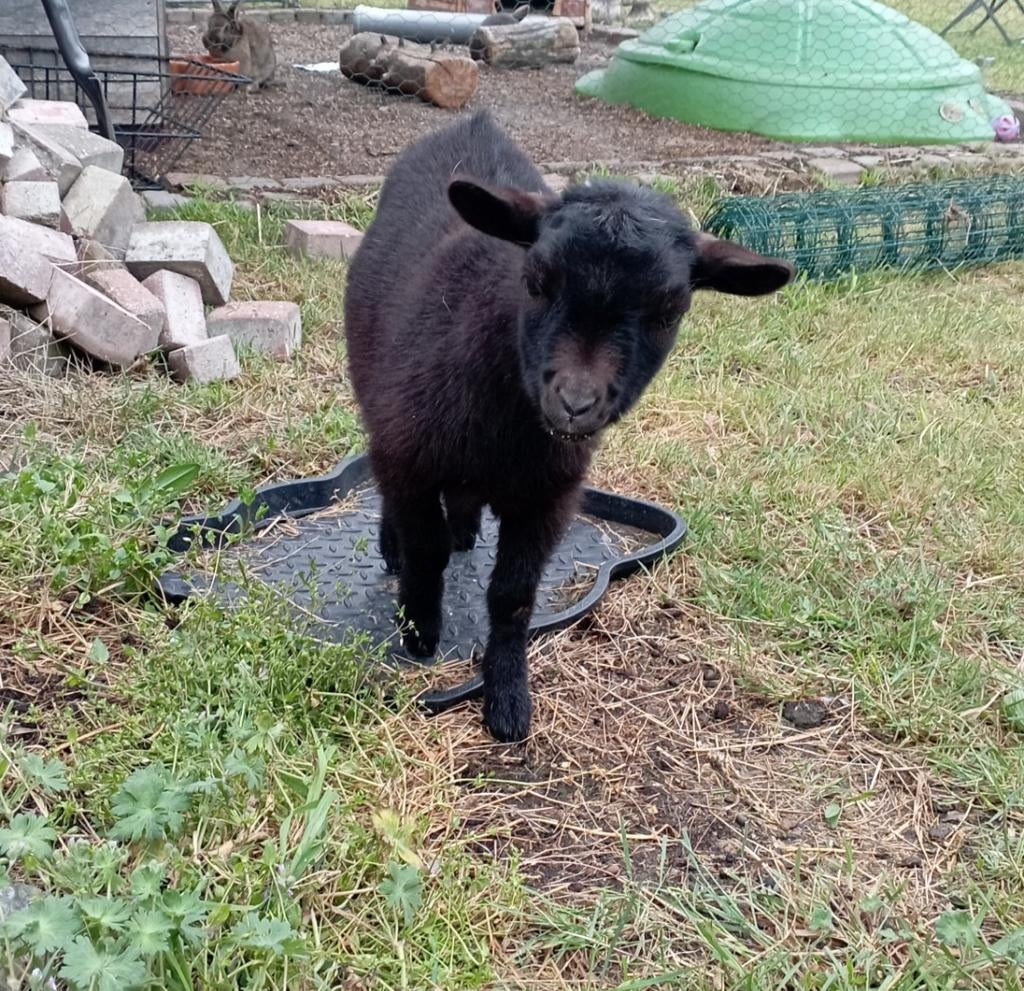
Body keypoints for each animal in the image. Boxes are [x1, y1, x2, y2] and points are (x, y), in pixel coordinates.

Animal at [343, 111, 793, 742]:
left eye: (671, 310)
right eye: (535, 280)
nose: (576, 404)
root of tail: (473, 126)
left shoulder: (549, 495)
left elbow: (513, 595)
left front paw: (508, 700)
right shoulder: (411, 454)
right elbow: (425, 550)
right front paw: (419, 634)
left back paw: (465, 530)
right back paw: (396, 546)